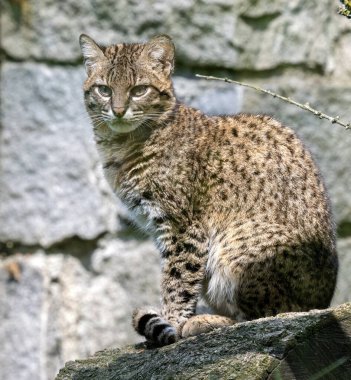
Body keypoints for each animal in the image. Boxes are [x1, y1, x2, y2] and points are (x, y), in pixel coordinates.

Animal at [79, 34, 338, 346]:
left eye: (139, 90)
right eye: (104, 90)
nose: (118, 111)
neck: (121, 143)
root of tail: (324, 301)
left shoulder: (184, 227)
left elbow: (177, 279)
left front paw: (172, 322)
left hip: (236, 244)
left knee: (271, 314)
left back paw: (205, 322)